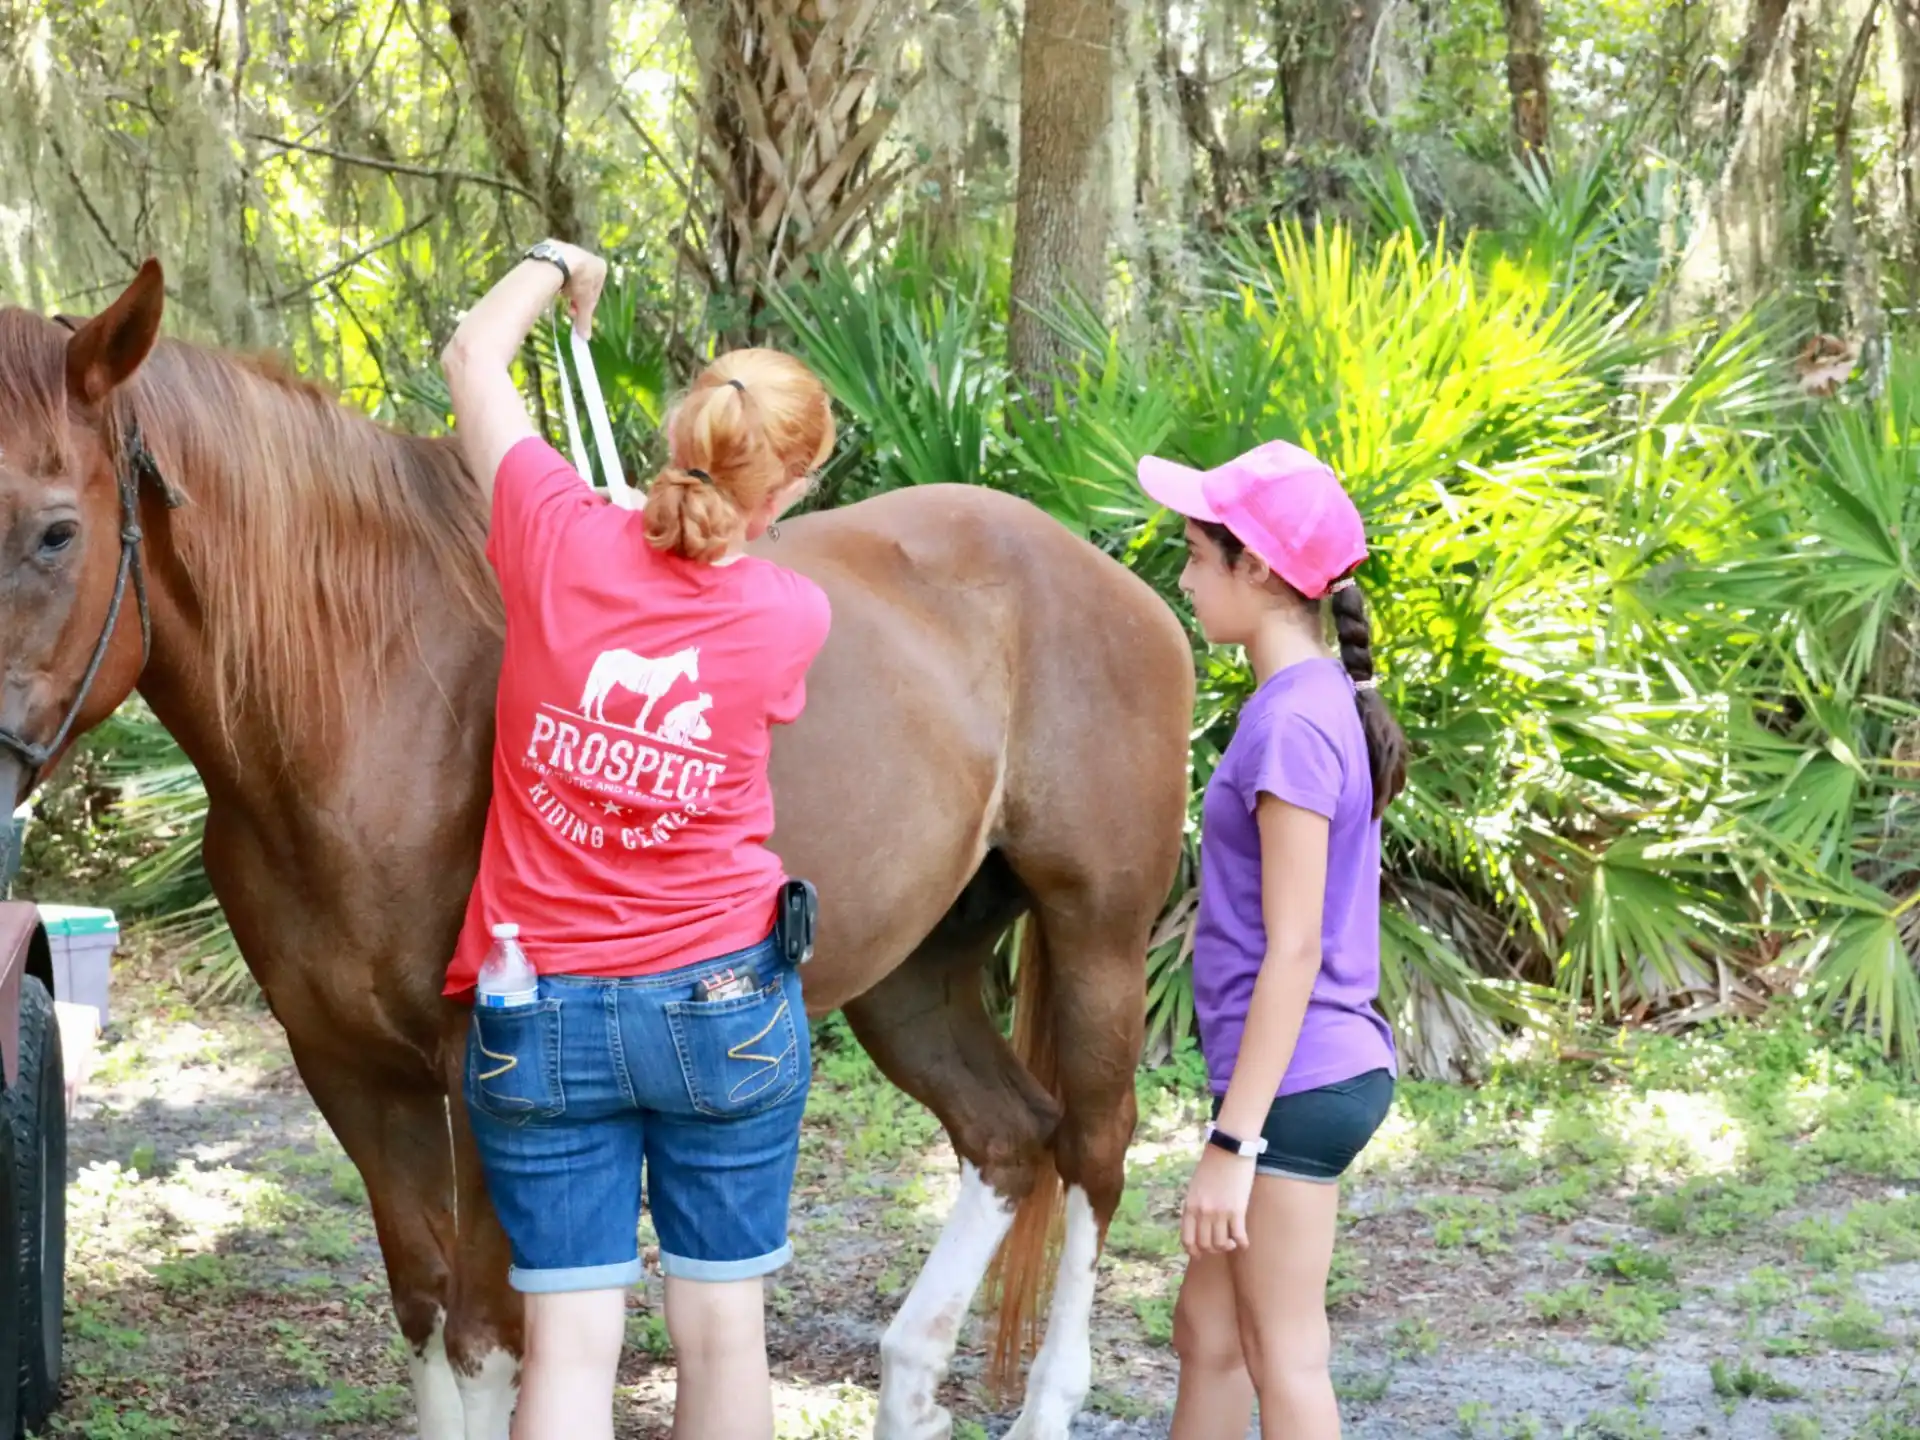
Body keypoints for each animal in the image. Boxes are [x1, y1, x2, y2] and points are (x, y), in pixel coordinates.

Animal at [0, 260, 1194, 1439]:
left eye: (56, 532)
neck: (374, 702)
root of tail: (1104, 575)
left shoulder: (485, 1074)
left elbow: (485, 1339)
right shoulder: (346, 1068)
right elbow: (424, 1312)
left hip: (1099, 936)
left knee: (1093, 1153)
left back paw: (1050, 1396)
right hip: (913, 971)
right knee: (1008, 1137)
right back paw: (909, 1375)